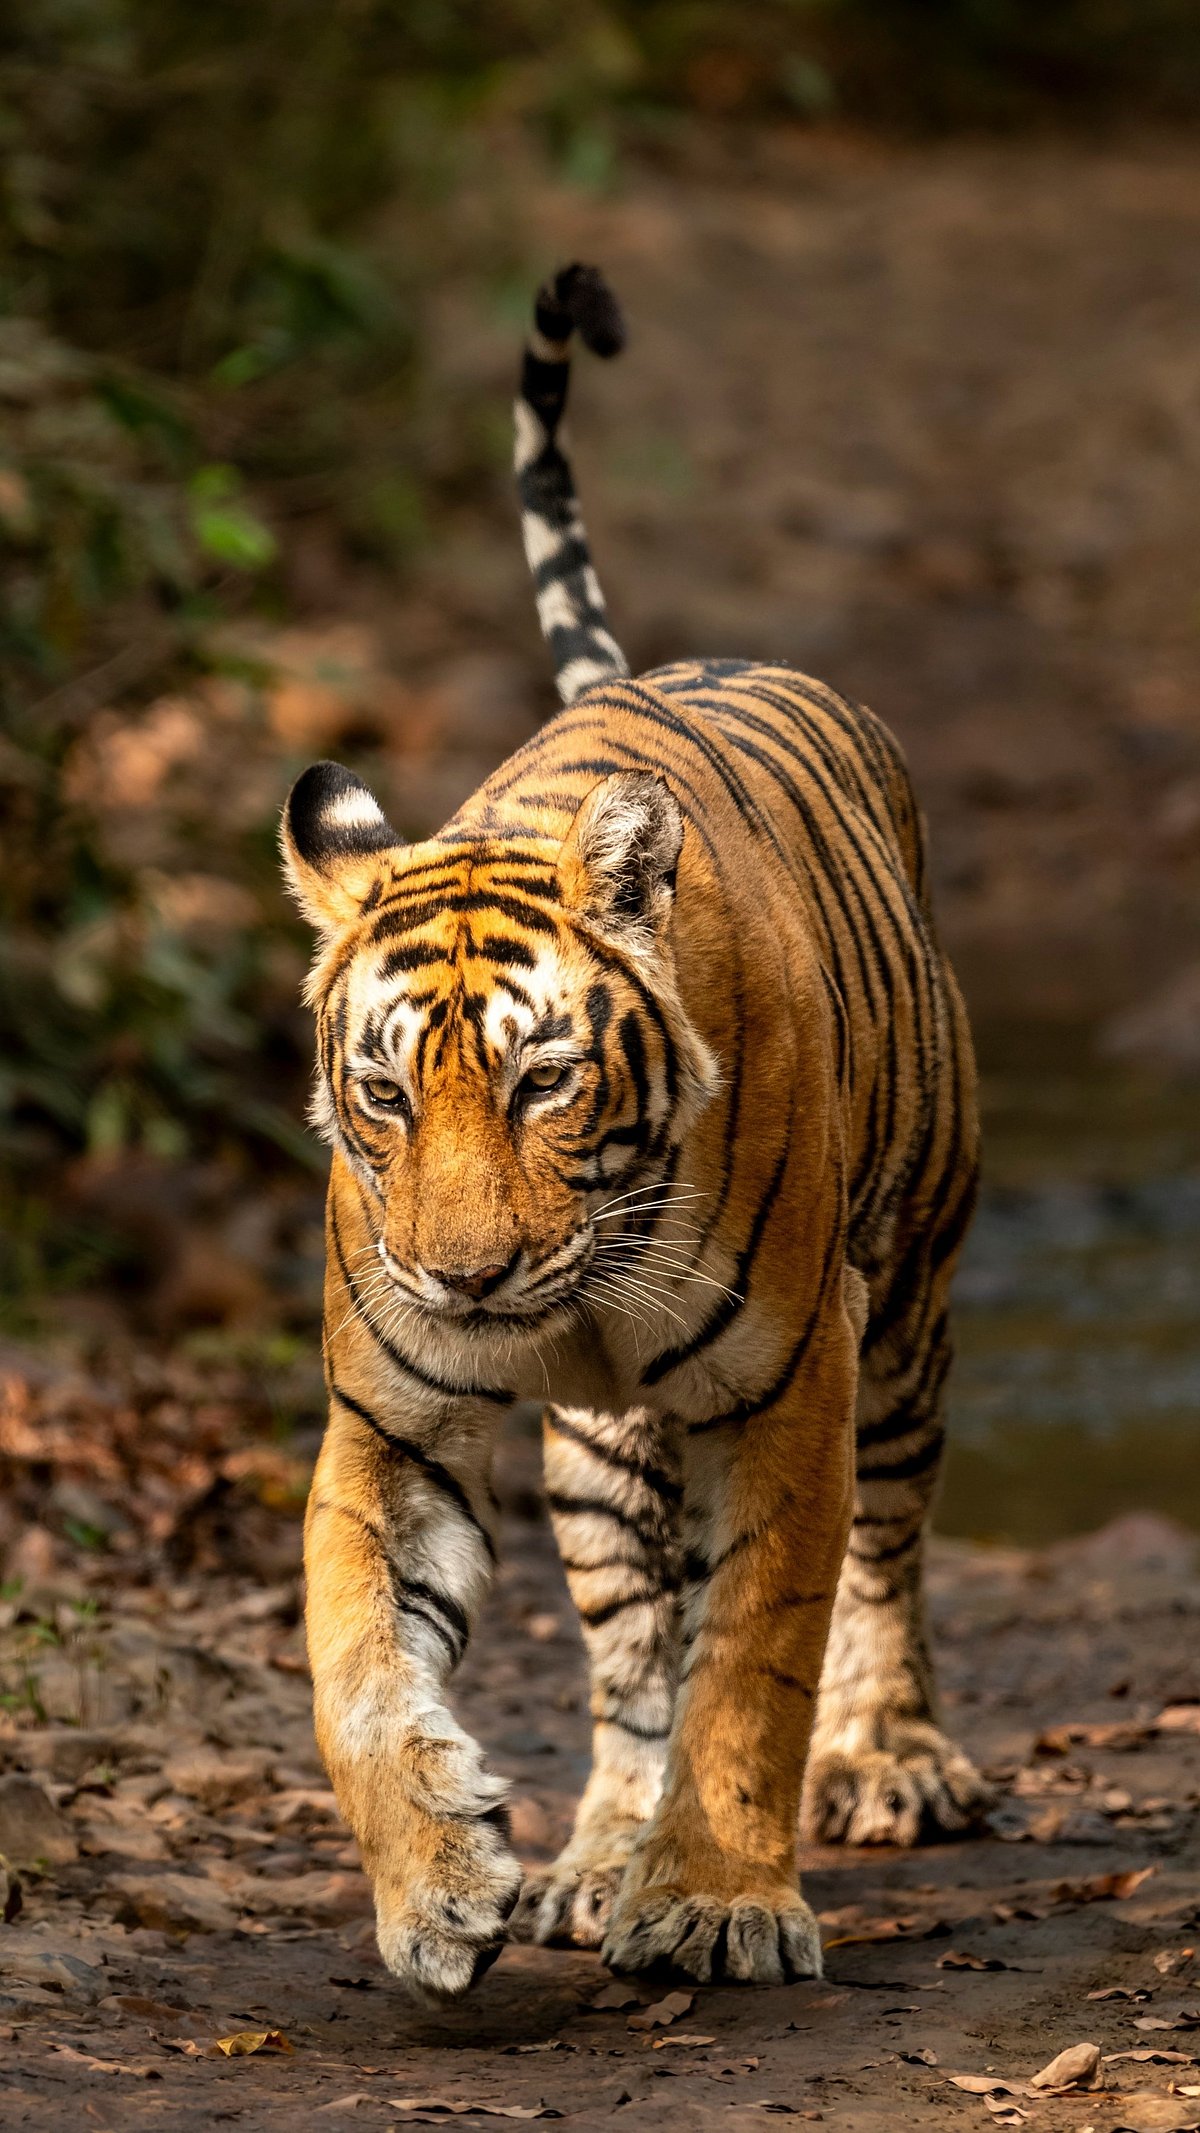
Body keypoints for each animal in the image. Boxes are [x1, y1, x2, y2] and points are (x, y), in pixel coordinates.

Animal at [281, 262, 989, 2004]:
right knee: (626, 1654)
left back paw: (893, 1759)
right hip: (599, 1460)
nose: (466, 1280)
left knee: (888, 1548)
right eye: (386, 1093)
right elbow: (357, 1661)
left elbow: (758, 1649)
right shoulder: (390, 1416)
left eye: (542, 1079)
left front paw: (722, 1899)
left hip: (909, 1316)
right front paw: (439, 1884)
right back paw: (596, 1855)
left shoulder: (800, 1377)